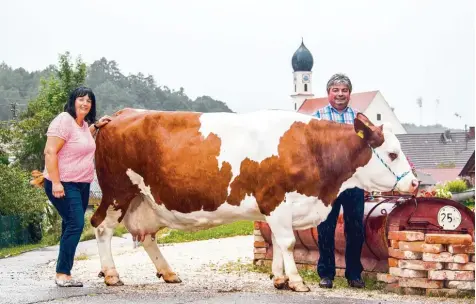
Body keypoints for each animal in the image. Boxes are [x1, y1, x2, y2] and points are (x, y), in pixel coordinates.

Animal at [89, 107, 416, 292]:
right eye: (392, 154)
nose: (414, 182)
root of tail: (117, 116)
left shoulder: (281, 210)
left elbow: (280, 246)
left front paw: (280, 279)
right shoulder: (277, 201)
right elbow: (288, 243)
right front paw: (296, 282)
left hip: (144, 200)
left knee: (146, 236)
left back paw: (168, 273)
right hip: (117, 192)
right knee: (101, 227)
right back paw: (112, 275)